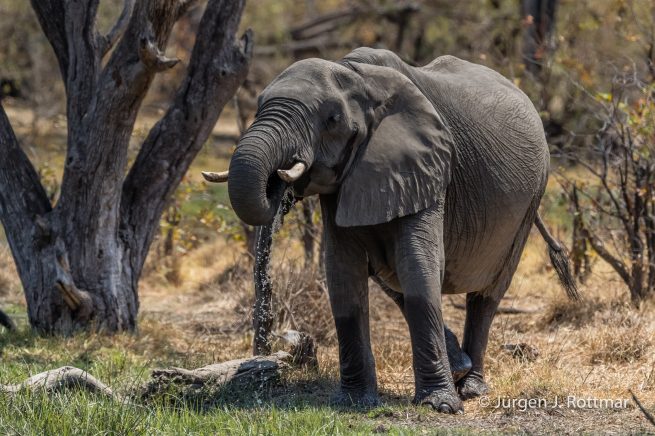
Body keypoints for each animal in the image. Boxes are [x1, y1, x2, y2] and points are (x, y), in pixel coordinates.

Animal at [203, 47, 578, 413]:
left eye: (332, 119)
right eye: (258, 106)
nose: (280, 182)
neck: (354, 75)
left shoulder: (427, 167)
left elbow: (417, 265)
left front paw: (441, 404)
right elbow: (343, 273)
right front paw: (355, 401)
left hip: (533, 196)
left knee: (486, 294)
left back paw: (471, 387)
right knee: (389, 276)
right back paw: (459, 366)